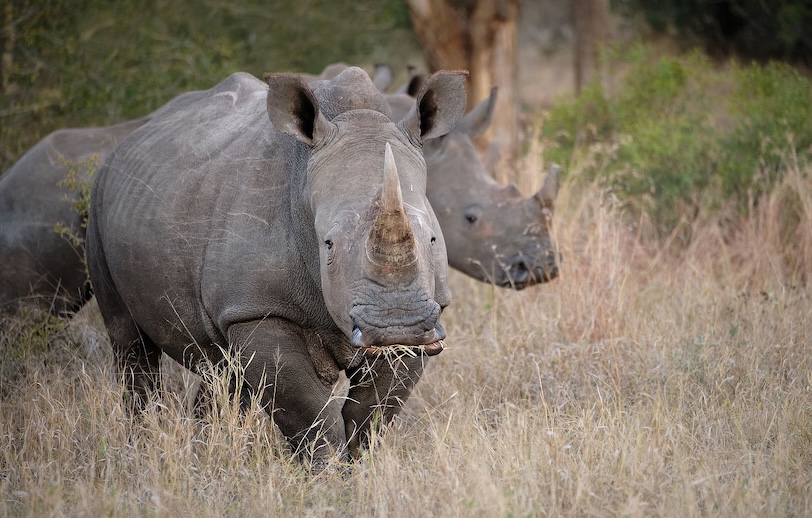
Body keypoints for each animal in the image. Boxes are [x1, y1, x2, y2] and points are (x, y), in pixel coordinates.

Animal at [85, 68, 466, 472]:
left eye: (433, 239)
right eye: (327, 244)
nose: (398, 326)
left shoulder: (424, 321)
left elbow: (370, 414)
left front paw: (355, 471)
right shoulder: (258, 309)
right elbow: (310, 415)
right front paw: (324, 476)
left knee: (222, 368)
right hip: (98, 205)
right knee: (130, 345)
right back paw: (142, 449)